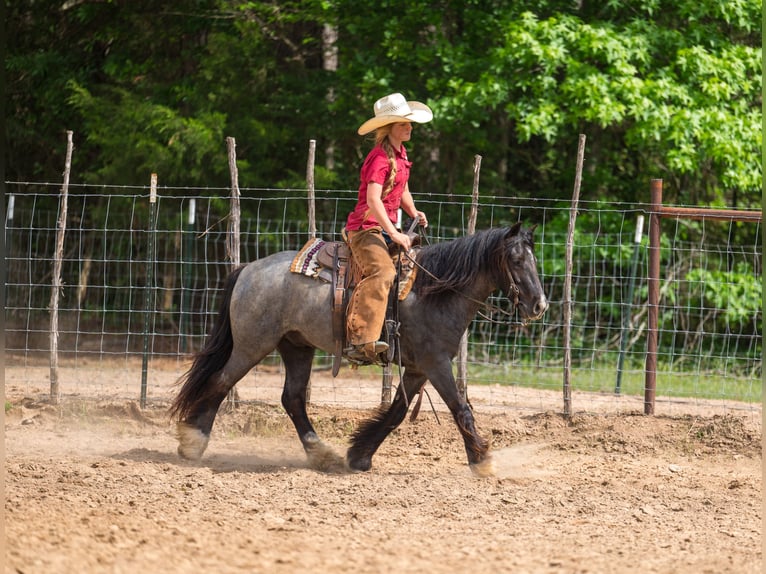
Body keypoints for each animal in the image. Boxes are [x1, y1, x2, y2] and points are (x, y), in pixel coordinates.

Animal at [169, 222, 548, 476]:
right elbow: (460, 408)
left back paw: (322, 454)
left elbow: (396, 412)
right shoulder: (436, 363)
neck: (433, 291)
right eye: (516, 259)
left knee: (292, 398)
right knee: (220, 382)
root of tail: (248, 269)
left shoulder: (418, 368)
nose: (539, 305)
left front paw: (360, 455)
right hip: (253, 345)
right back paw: (193, 442)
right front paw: (481, 459)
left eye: (534, 258)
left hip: (296, 347)